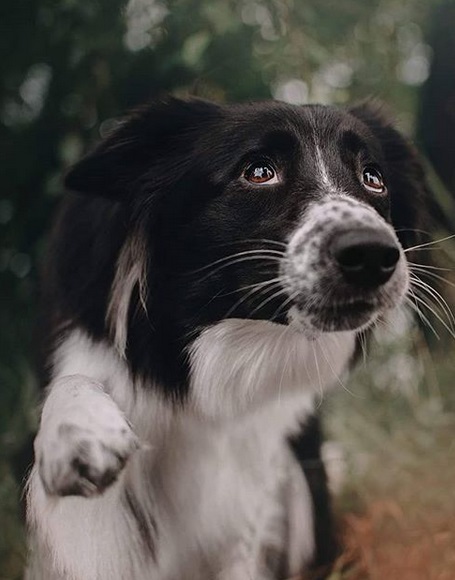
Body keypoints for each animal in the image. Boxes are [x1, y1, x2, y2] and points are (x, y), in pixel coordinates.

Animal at [25, 97, 432, 576]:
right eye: (257, 171)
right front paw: (78, 431)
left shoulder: (256, 486)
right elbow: (76, 380)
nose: (373, 255)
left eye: (373, 178)